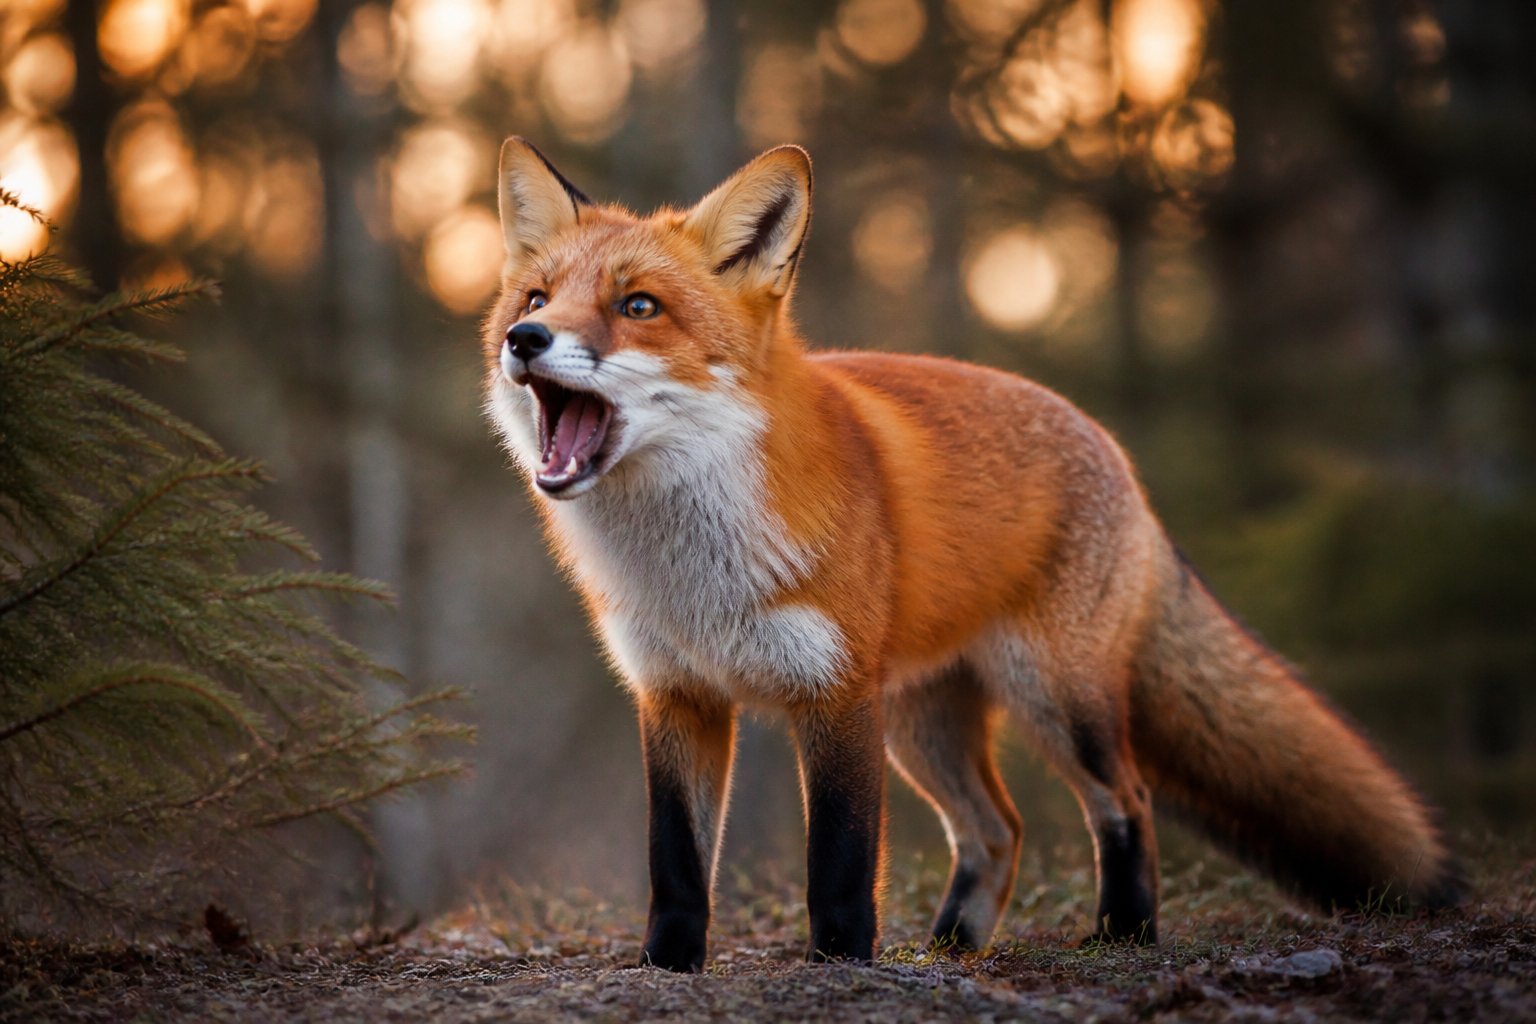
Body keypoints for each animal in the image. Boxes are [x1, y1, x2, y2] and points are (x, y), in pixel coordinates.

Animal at [482, 138, 1461, 971]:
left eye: (638, 307)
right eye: (536, 300)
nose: (524, 342)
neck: (691, 568)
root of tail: (1115, 455)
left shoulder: (837, 695)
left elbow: (840, 864)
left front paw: (843, 964)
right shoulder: (676, 696)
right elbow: (677, 865)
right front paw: (669, 966)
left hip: (1055, 701)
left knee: (1125, 801)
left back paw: (1121, 935)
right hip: (927, 728)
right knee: (999, 830)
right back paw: (954, 949)